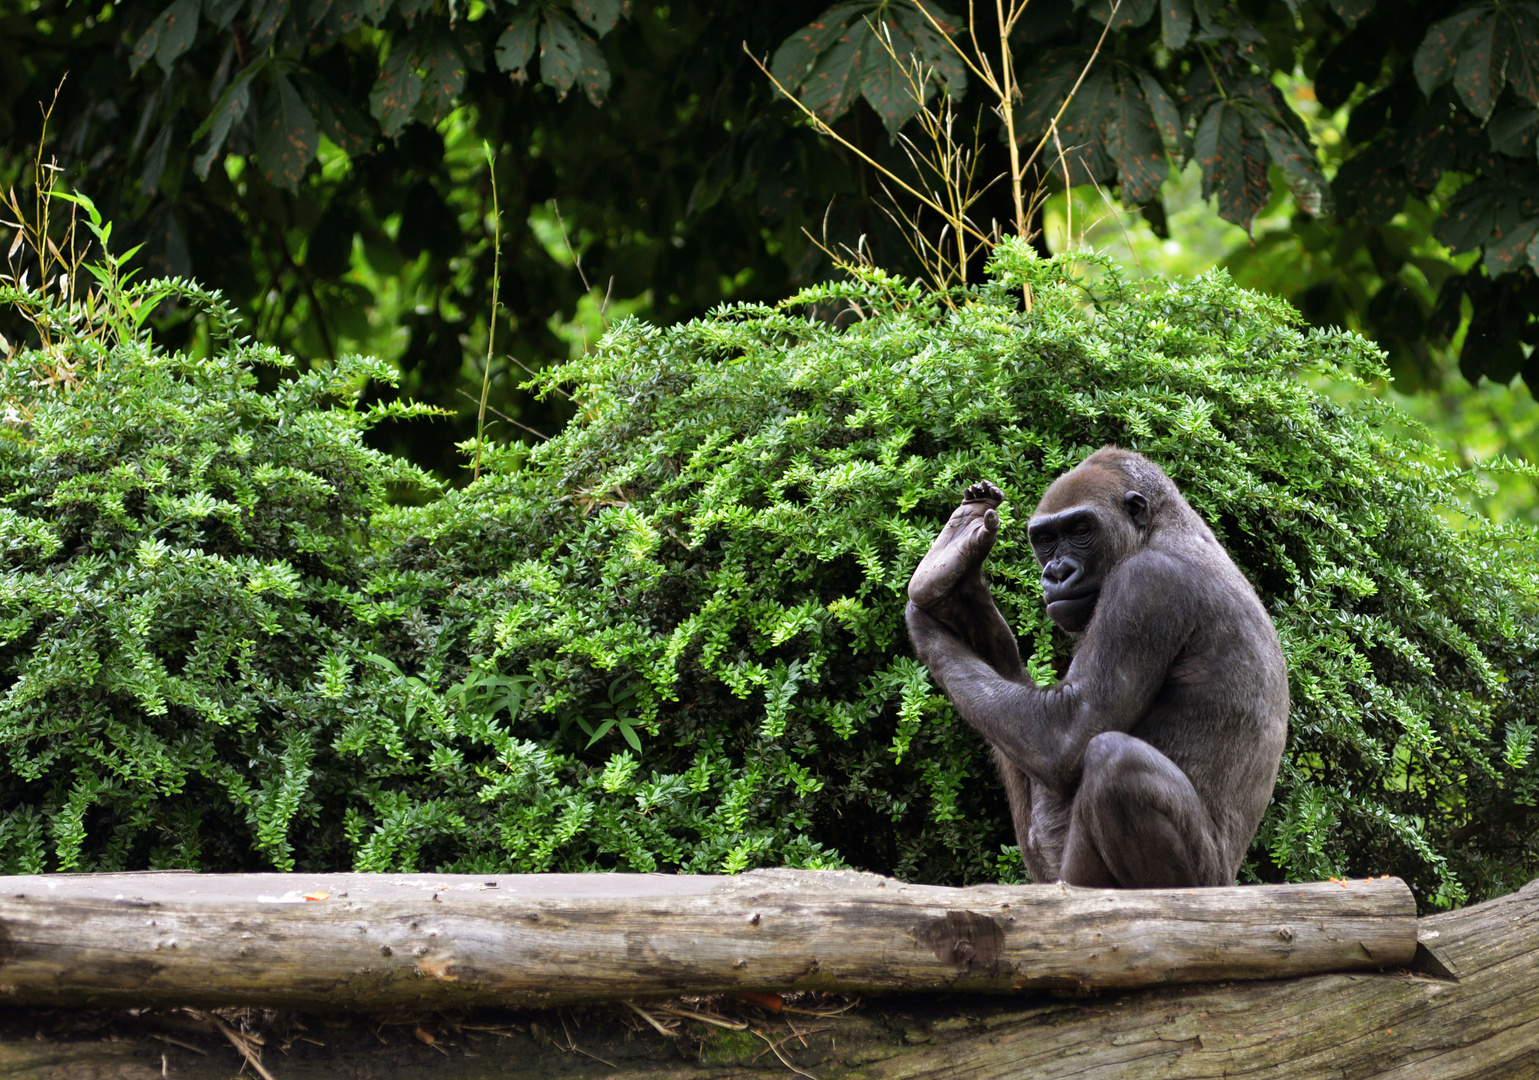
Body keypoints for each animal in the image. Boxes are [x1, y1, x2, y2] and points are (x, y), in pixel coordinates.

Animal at [898, 446, 1286, 886]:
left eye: (1081, 530)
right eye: (1046, 539)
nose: (1057, 572)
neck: (1161, 528)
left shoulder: (1146, 585)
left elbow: (1063, 735)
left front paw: (928, 623)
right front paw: (956, 595)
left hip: (1207, 880)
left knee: (1118, 763)